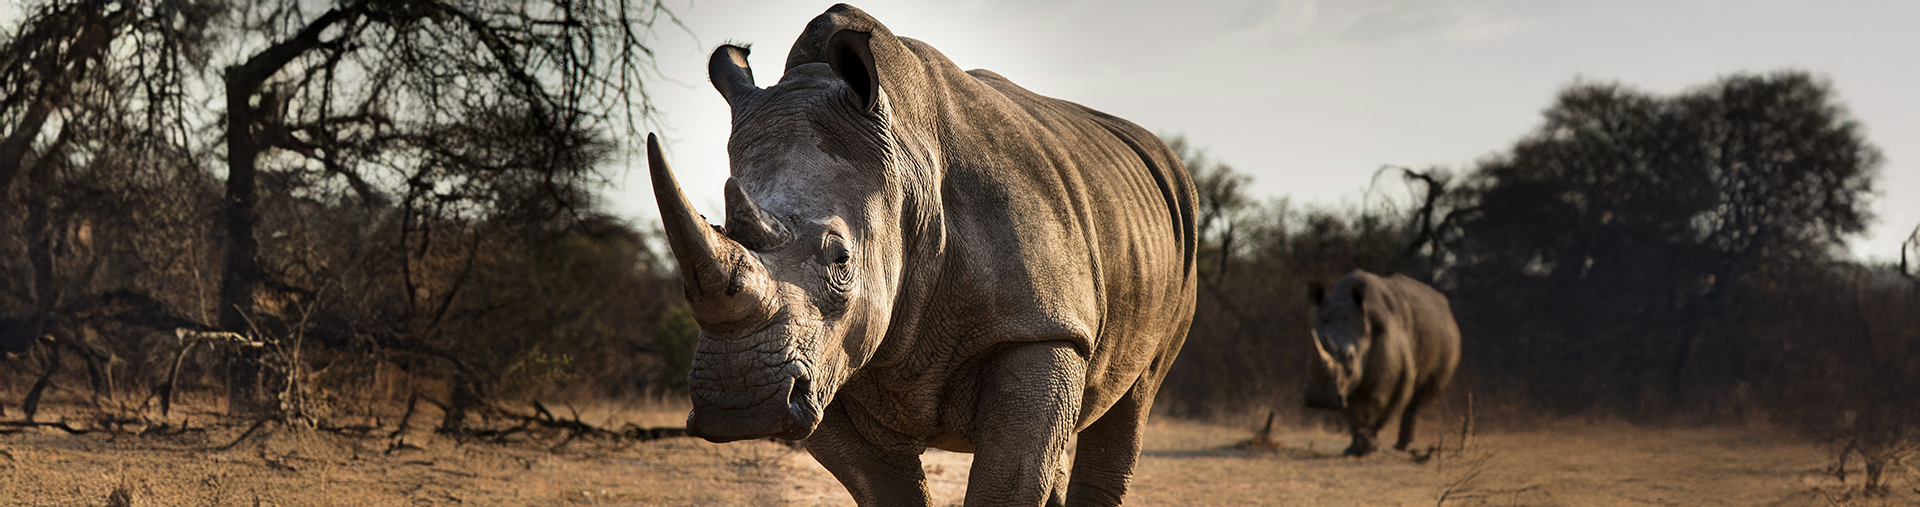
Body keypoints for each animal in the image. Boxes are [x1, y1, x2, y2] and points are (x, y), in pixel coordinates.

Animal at [646, 4, 1198, 505]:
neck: (908, 169)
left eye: (841, 260)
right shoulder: (826, 366)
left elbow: (1011, 480)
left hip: (1179, 236)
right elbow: (887, 486)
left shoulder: (1042, 328)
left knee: (1134, 401)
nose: (741, 401)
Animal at [1304, 270, 1461, 457]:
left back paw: (1404, 446)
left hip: (1445, 342)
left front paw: (1370, 447)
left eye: (1351, 357)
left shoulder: (1401, 373)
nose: (1319, 399)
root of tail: (1448, 310)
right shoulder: (1344, 387)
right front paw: (1354, 449)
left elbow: (1384, 408)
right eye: (1310, 351)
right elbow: (1351, 410)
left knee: (1419, 398)